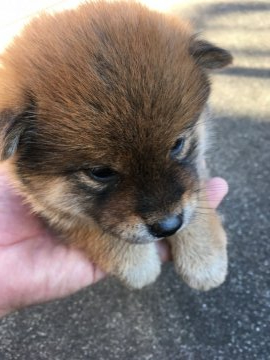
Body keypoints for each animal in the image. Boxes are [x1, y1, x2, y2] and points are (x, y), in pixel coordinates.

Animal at [0, 1, 232, 290]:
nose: (168, 226)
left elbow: (194, 191)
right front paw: (135, 263)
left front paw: (204, 257)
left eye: (178, 144)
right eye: (100, 172)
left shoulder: (193, 172)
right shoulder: (47, 205)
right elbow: (87, 224)